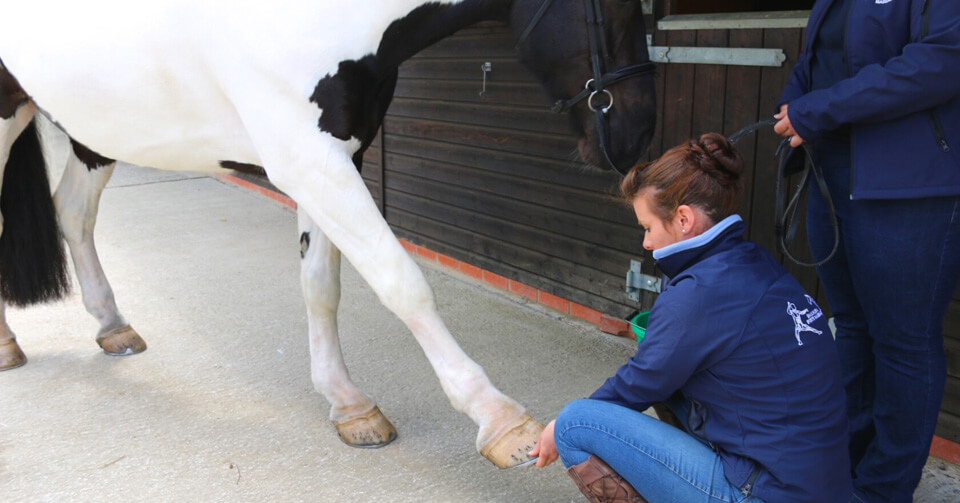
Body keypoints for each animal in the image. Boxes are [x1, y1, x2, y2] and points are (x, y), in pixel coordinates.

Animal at [0, 0, 656, 468]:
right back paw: (10, 344)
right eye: (624, 9)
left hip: (91, 133)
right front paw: (500, 421)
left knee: (74, 214)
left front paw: (348, 405)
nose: (637, 136)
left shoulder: (335, 157)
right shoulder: (310, 161)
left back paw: (112, 326)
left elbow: (321, 284)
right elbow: (400, 281)